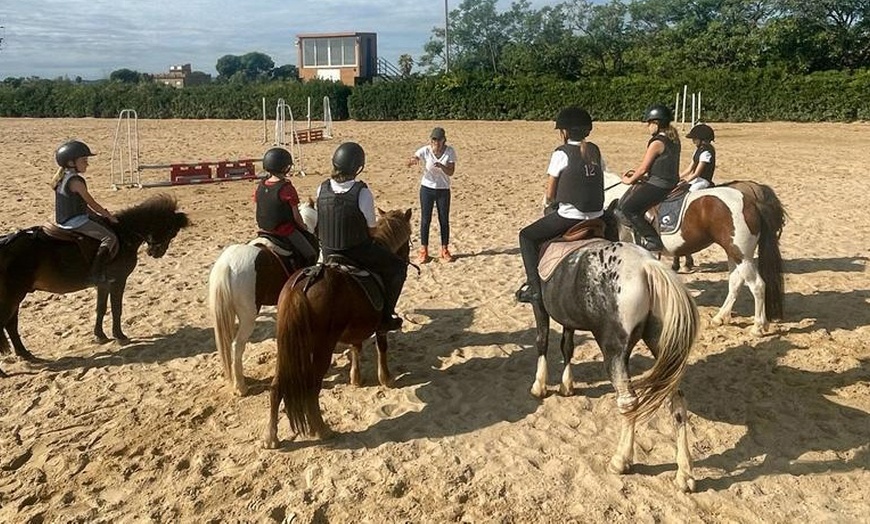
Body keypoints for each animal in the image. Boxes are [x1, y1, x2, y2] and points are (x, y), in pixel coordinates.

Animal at [0, 194, 190, 374]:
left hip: (15, 297)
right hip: (13, 296)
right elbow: (116, 308)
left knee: (11, 325)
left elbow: (101, 308)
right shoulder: (118, 281)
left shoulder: (104, 284)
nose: (156, 252)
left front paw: (100, 336)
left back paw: (25, 354)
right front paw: (120, 336)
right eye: (171, 230)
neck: (123, 234)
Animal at [262, 207, 412, 448]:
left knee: (276, 387)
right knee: (311, 387)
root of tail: (300, 288)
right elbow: (382, 346)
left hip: (286, 348)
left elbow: (356, 348)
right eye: (408, 240)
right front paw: (386, 378)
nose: (405, 258)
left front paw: (356, 378)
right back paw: (322, 429)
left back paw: (271, 436)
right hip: (322, 348)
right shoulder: (380, 324)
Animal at [532, 237, 700, 492]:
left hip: (614, 352)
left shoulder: (540, 306)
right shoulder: (567, 316)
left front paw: (539, 386)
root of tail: (647, 266)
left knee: (628, 402)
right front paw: (566, 386)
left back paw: (621, 460)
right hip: (663, 348)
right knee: (677, 403)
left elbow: (543, 340)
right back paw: (685, 474)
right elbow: (567, 345)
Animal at [608, 173, 792, 336]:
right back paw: (720, 317)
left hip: (742, 255)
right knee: (735, 282)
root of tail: (751, 201)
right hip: (734, 253)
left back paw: (758, 327)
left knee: (757, 286)